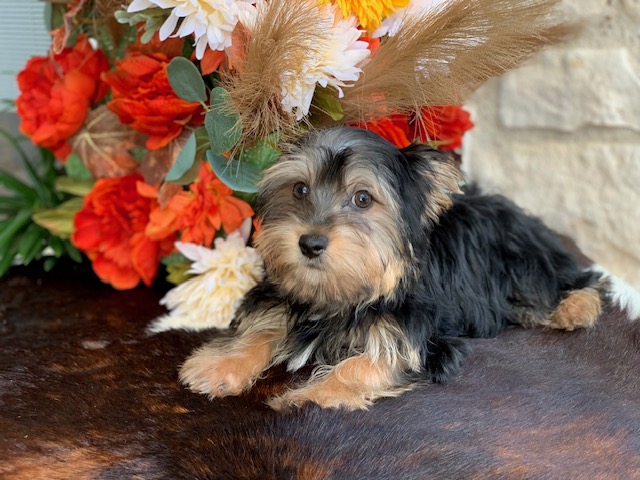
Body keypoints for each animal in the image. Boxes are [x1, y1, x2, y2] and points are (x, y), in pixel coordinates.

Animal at [179, 125, 624, 410]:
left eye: (362, 198)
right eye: (300, 189)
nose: (310, 242)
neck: (339, 295)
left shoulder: (422, 339)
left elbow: (372, 362)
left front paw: (312, 395)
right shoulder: (285, 300)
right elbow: (260, 331)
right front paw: (220, 366)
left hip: (522, 261)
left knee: (574, 280)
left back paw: (575, 307)